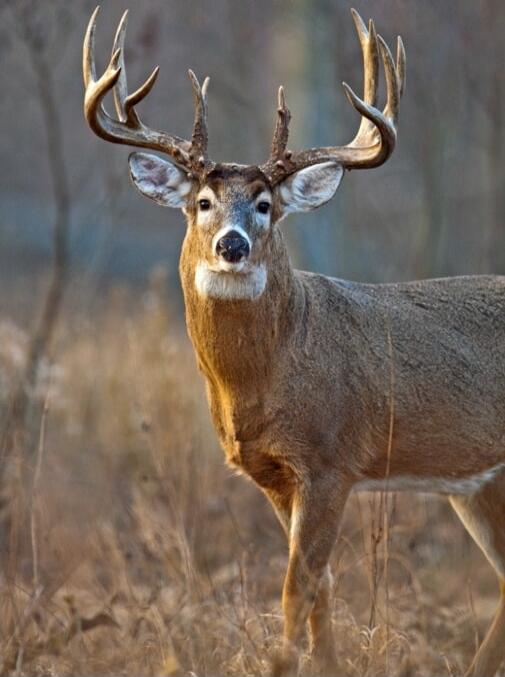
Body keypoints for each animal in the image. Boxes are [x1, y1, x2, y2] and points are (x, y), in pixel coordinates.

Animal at [83, 6, 505, 676]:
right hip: (480, 482)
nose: (232, 243)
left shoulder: (333, 462)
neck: (263, 383)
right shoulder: (274, 474)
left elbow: (296, 589)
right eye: (203, 201)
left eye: (264, 204)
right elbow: (322, 587)